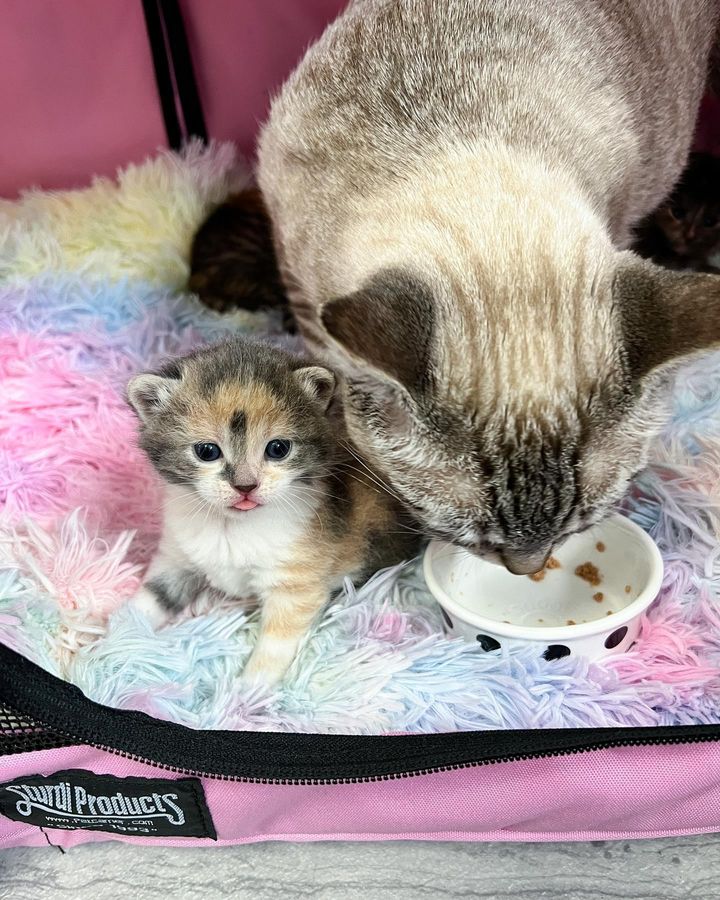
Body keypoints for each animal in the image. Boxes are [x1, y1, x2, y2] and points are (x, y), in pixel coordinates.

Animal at [124, 338, 416, 684]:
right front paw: (111, 643)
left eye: (278, 449)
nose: (245, 486)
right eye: (207, 451)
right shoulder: (176, 557)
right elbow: (149, 598)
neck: (232, 526)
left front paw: (247, 690)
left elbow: (275, 644)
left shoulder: (296, 583)